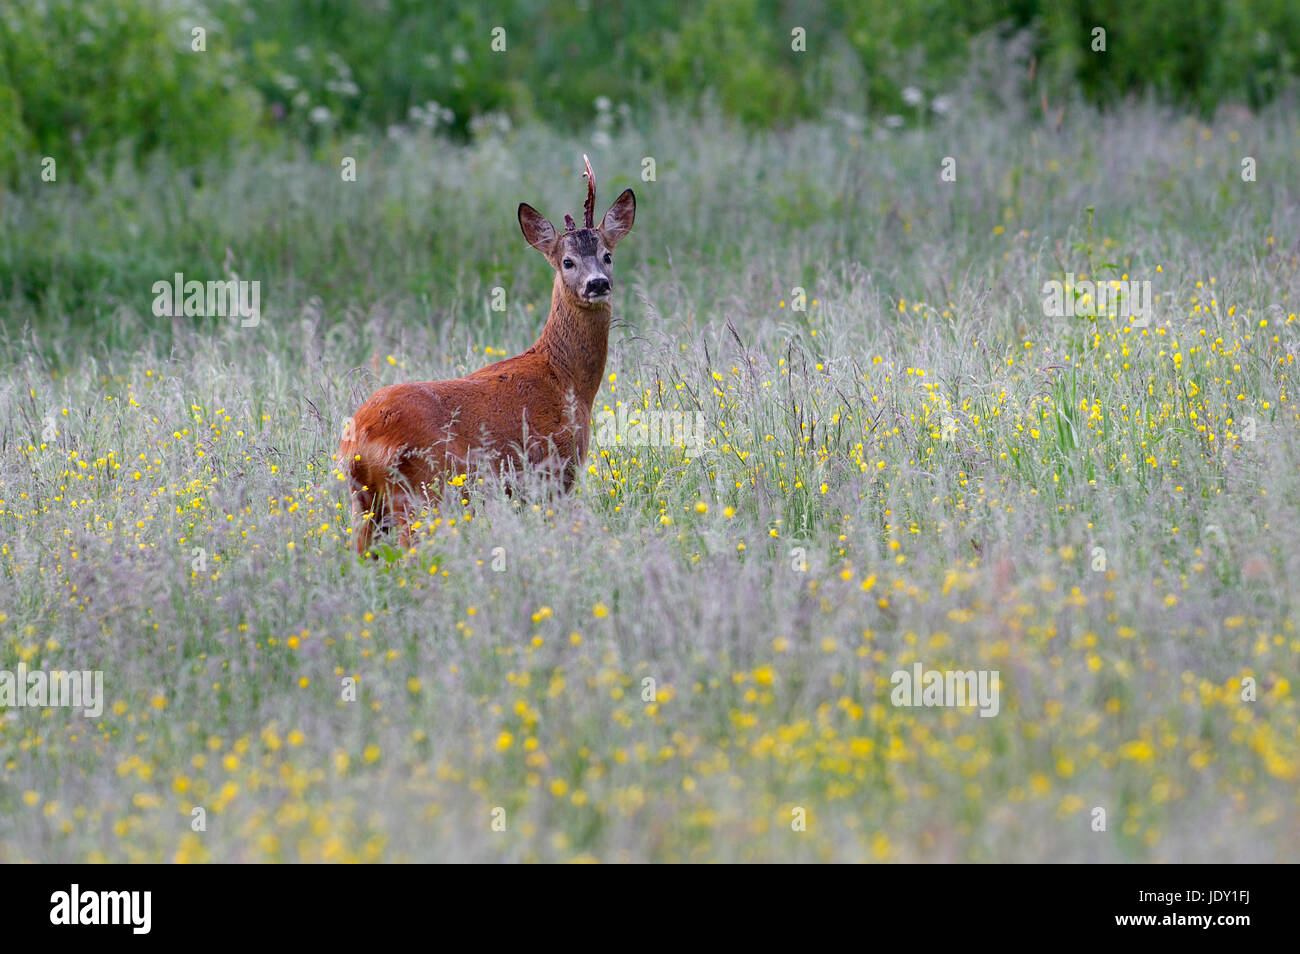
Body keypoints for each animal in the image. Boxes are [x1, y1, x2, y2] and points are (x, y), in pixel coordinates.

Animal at [338, 157, 637, 556]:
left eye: (607, 256)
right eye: (568, 262)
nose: (598, 283)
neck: (566, 379)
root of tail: (360, 437)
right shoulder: (556, 469)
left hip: (365, 503)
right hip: (422, 491)